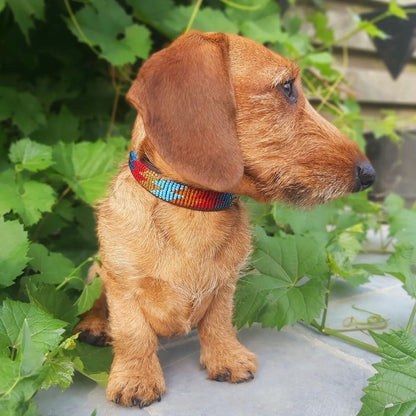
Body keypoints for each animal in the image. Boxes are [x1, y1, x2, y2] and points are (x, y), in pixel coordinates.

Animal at [74, 30, 374, 408]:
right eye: (287, 87)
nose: (369, 174)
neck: (194, 207)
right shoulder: (124, 285)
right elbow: (134, 334)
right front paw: (136, 378)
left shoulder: (225, 285)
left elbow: (218, 324)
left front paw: (227, 358)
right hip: (96, 270)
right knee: (94, 302)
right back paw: (95, 326)